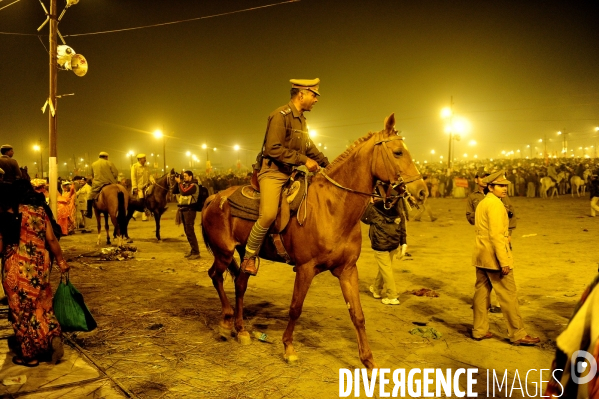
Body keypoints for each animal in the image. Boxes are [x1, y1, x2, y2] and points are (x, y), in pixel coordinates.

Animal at [202, 114, 426, 370]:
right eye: (398, 152)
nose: (422, 191)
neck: (332, 206)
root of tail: (214, 197)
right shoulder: (305, 269)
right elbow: (295, 308)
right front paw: (288, 347)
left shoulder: (347, 270)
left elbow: (357, 314)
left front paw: (369, 362)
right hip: (223, 253)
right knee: (216, 276)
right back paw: (225, 323)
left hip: (245, 253)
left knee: (240, 284)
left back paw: (241, 330)